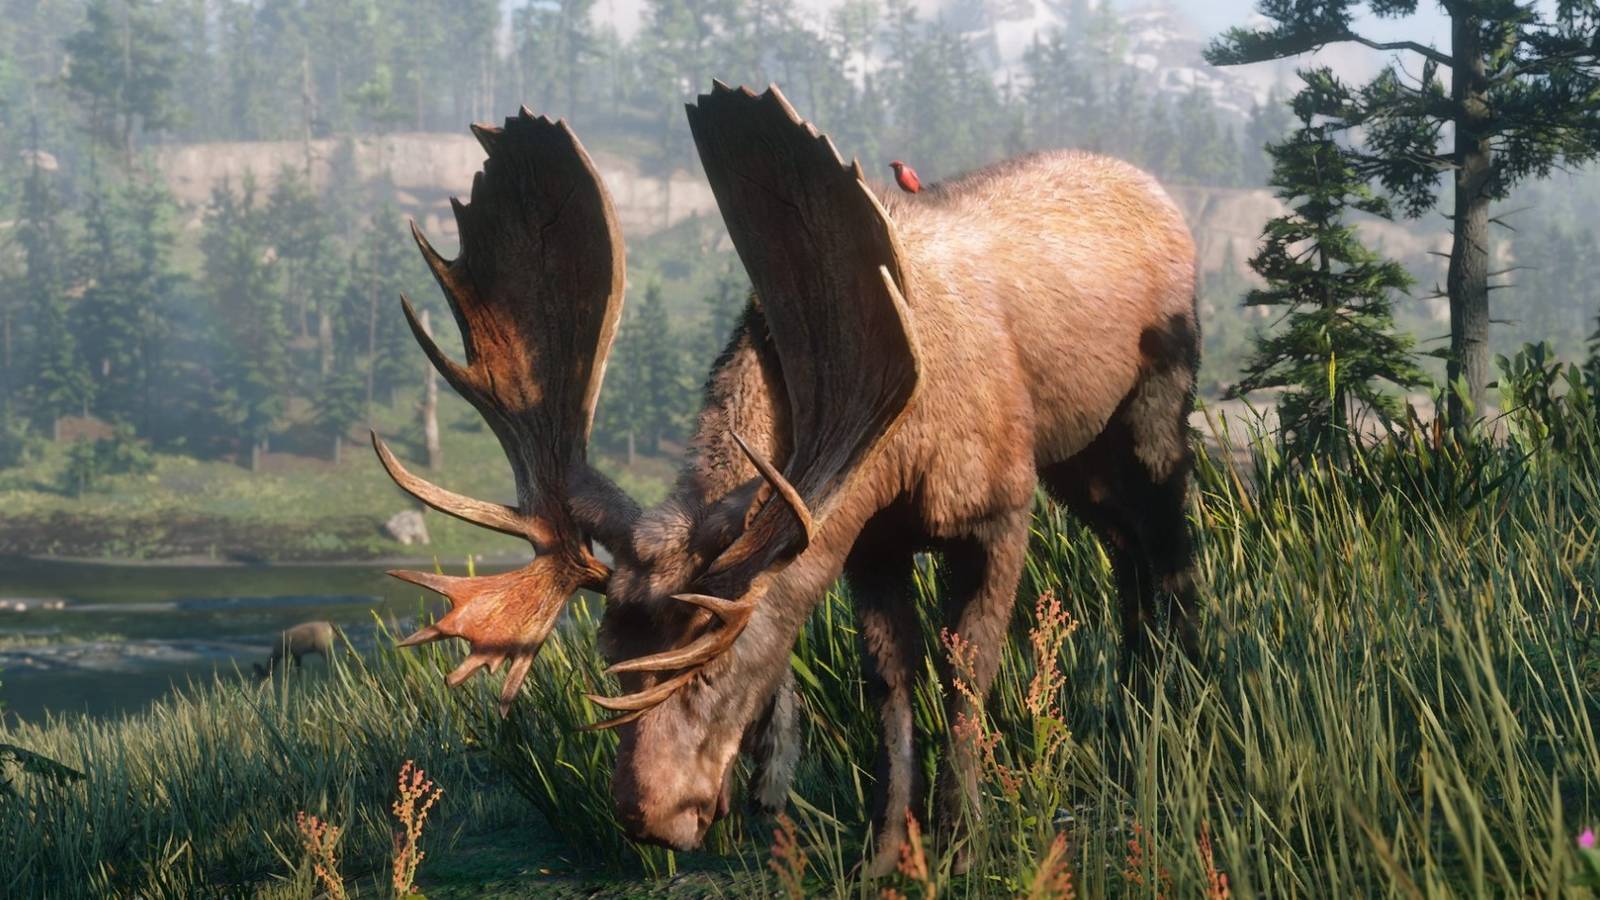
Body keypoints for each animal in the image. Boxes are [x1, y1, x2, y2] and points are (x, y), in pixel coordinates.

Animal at [370, 82, 1200, 875]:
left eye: (711, 663)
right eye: (611, 655)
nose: (643, 814)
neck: (897, 447)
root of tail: (1161, 195)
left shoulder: (998, 509)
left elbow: (967, 673)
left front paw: (963, 841)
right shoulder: (872, 541)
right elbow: (889, 682)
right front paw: (885, 852)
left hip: (1156, 401)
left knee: (1171, 542)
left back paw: (1177, 700)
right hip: (1079, 456)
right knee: (1125, 545)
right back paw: (1132, 700)